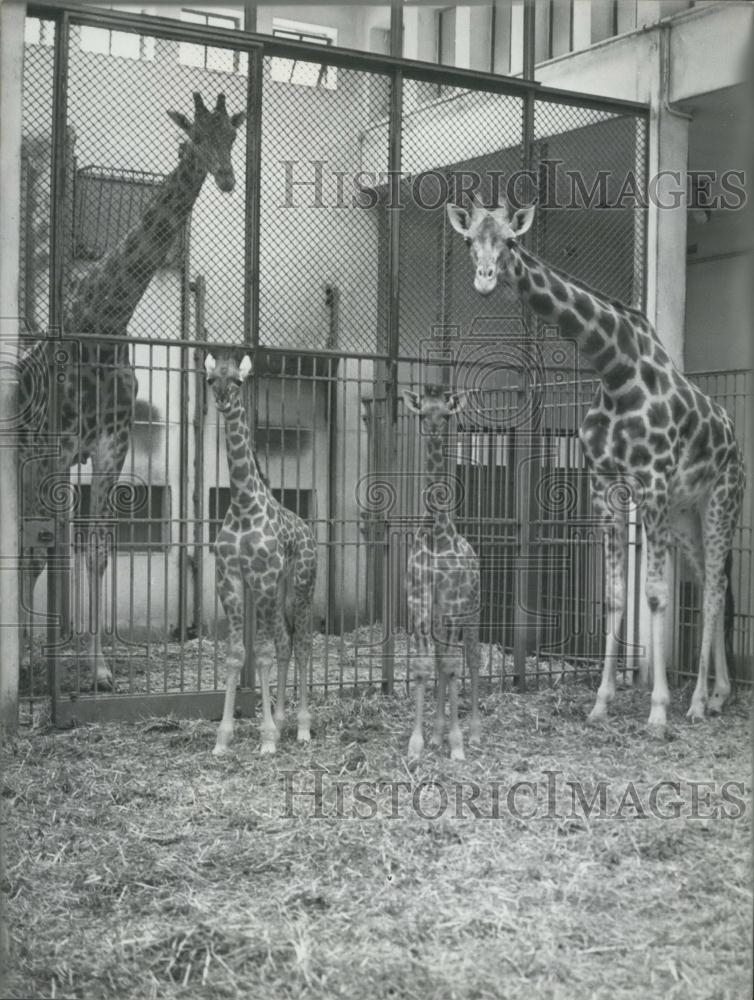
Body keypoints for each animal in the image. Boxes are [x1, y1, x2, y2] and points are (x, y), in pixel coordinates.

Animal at [18, 92, 244, 688]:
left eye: (232, 136)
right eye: (193, 135)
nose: (226, 177)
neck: (103, 322)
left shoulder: (111, 445)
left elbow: (95, 551)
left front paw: (98, 669)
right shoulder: (55, 450)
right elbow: (46, 551)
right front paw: (45, 664)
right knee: (28, 546)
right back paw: (24, 659)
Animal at [201, 348, 316, 752]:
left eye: (238, 380)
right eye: (210, 380)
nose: (222, 399)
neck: (243, 502)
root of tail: (309, 532)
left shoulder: (263, 579)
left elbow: (262, 653)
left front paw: (266, 739)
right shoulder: (230, 578)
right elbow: (238, 655)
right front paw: (223, 738)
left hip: (300, 586)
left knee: (302, 644)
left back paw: (301, 727)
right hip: (280, 590)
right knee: (285, 642)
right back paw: (282, 720)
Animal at [444, 199, 744, 732]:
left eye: (511, 241)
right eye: (468, 241)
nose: (484, 280)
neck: (615, 369)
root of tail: (731, 433)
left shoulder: (655, 482)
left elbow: (655, 594)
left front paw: (658, 710)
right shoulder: (607, 487)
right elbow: (615, 595)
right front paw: (601, 702)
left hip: (721, 502)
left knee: (713, 588)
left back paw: (695, 702)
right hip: (687, 515)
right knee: (715, 582)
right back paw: (717, 695)